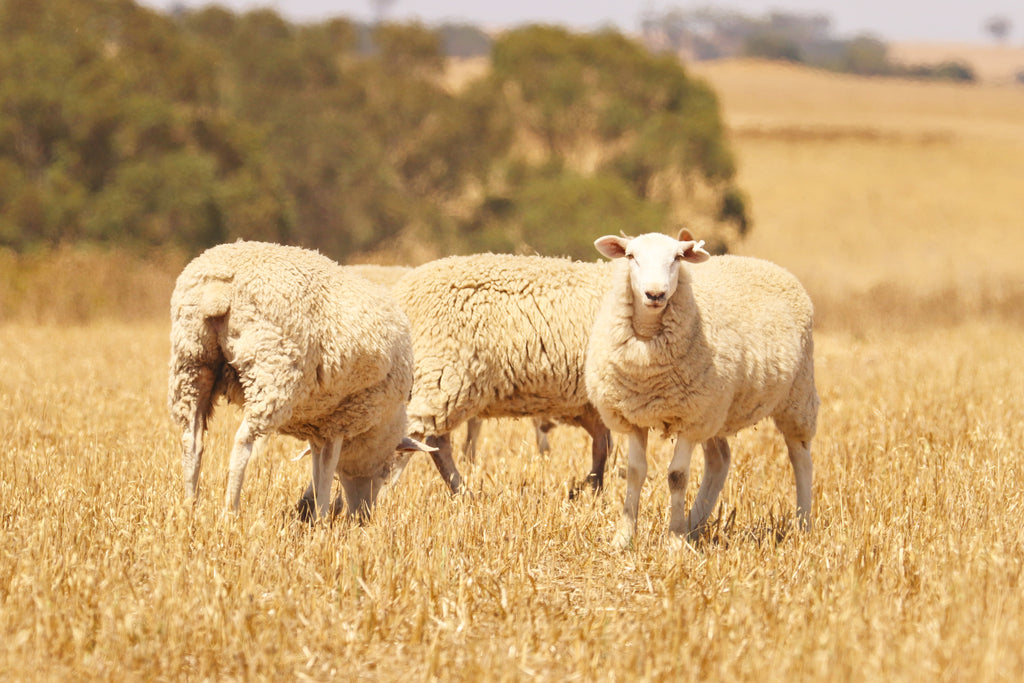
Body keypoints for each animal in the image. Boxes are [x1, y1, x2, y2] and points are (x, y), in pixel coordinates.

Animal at [168, 240, 431, 521]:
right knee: (242, 442)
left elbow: (317, 468)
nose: (363, 518)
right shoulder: (340, 421)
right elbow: (327, 471)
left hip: (192, 362)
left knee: (192, 441)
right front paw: (323, 520)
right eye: (385, 469)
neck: (382, 422)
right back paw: (231, 513)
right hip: (272, 370)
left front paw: (315, 515)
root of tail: (217, 290)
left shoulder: (318, 425)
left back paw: (189, 508)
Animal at [390, 253, 615, 495]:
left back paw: (463, 492)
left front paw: (589, 490)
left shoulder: (591, 406)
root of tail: (401, 295)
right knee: (408, 440)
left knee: (434, 442)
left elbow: (602, 447)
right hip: (443, 375)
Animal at [584, 230, 818, 548]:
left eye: (677, 258)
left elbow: (677, 476)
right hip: (718, 411)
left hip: (797, 397)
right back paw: (694, 523)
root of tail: (767, 263)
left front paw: (673, 538)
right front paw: (624, 537)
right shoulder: (635, 417)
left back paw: (803, 524)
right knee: (719, 461)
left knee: (800, 458)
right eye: (631, 256)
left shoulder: (690, 418)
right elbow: (634, 472)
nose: (655, 294)